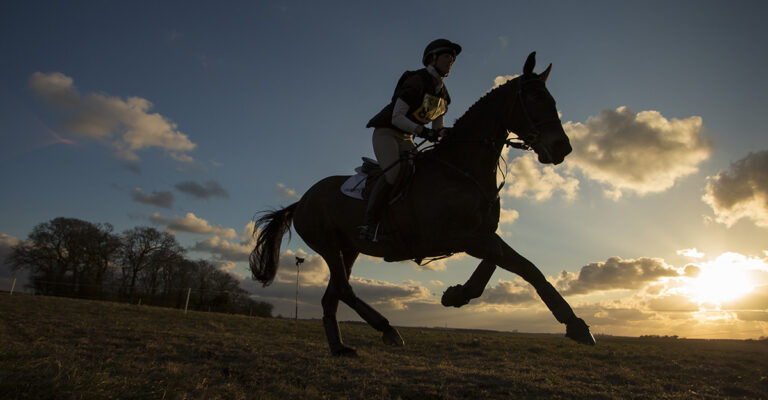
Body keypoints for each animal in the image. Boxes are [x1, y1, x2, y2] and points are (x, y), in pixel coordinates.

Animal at [250, 52, 595, 356]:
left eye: (553, 101)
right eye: (535, 99)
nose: (562, 148)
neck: (461, 168)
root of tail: (302, 200)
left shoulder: (481, 233)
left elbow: (505, 263)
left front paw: (456, 295)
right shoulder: (459, 237)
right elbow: (522, 266)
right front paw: (576, 325)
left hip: (348, 249)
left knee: (332, 296)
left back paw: (340, 348)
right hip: (328, 245)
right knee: (344, 289)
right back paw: (387, 329)